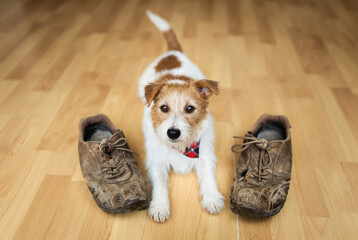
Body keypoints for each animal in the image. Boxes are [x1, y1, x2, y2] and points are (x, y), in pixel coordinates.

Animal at [138, 10, 224, 222]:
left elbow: (208, 178)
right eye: (164, 108)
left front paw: (212, 198)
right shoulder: (157, 162)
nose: (173, 133)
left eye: (190, 109)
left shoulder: (205, 156)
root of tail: (172, 53)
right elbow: (160, 185)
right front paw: (160, 206)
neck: (181, 148)